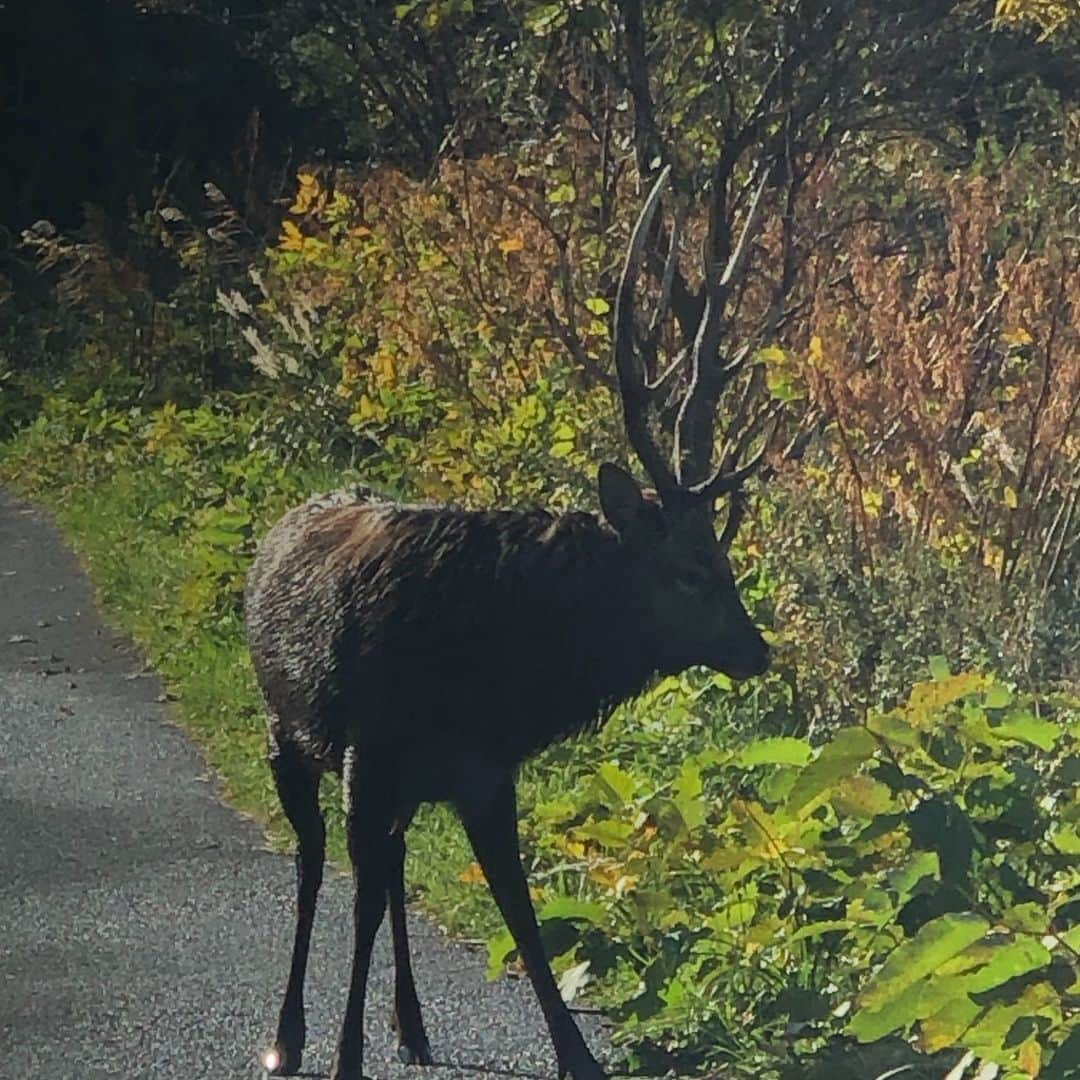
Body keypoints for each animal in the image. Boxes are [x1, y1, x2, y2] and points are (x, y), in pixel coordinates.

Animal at [247, 162, 777, 1080]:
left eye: (726, 561)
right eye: (688, 572)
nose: (757, 651)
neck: (491, 678)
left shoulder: (484, 771)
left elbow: (519, 908)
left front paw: (578, 1055)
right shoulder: (368, 753)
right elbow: (360, 899)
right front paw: (344, 1053)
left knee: (389, 868)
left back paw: (412, 1025)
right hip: (289, 734)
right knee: (316, 866)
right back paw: (290, 1034)